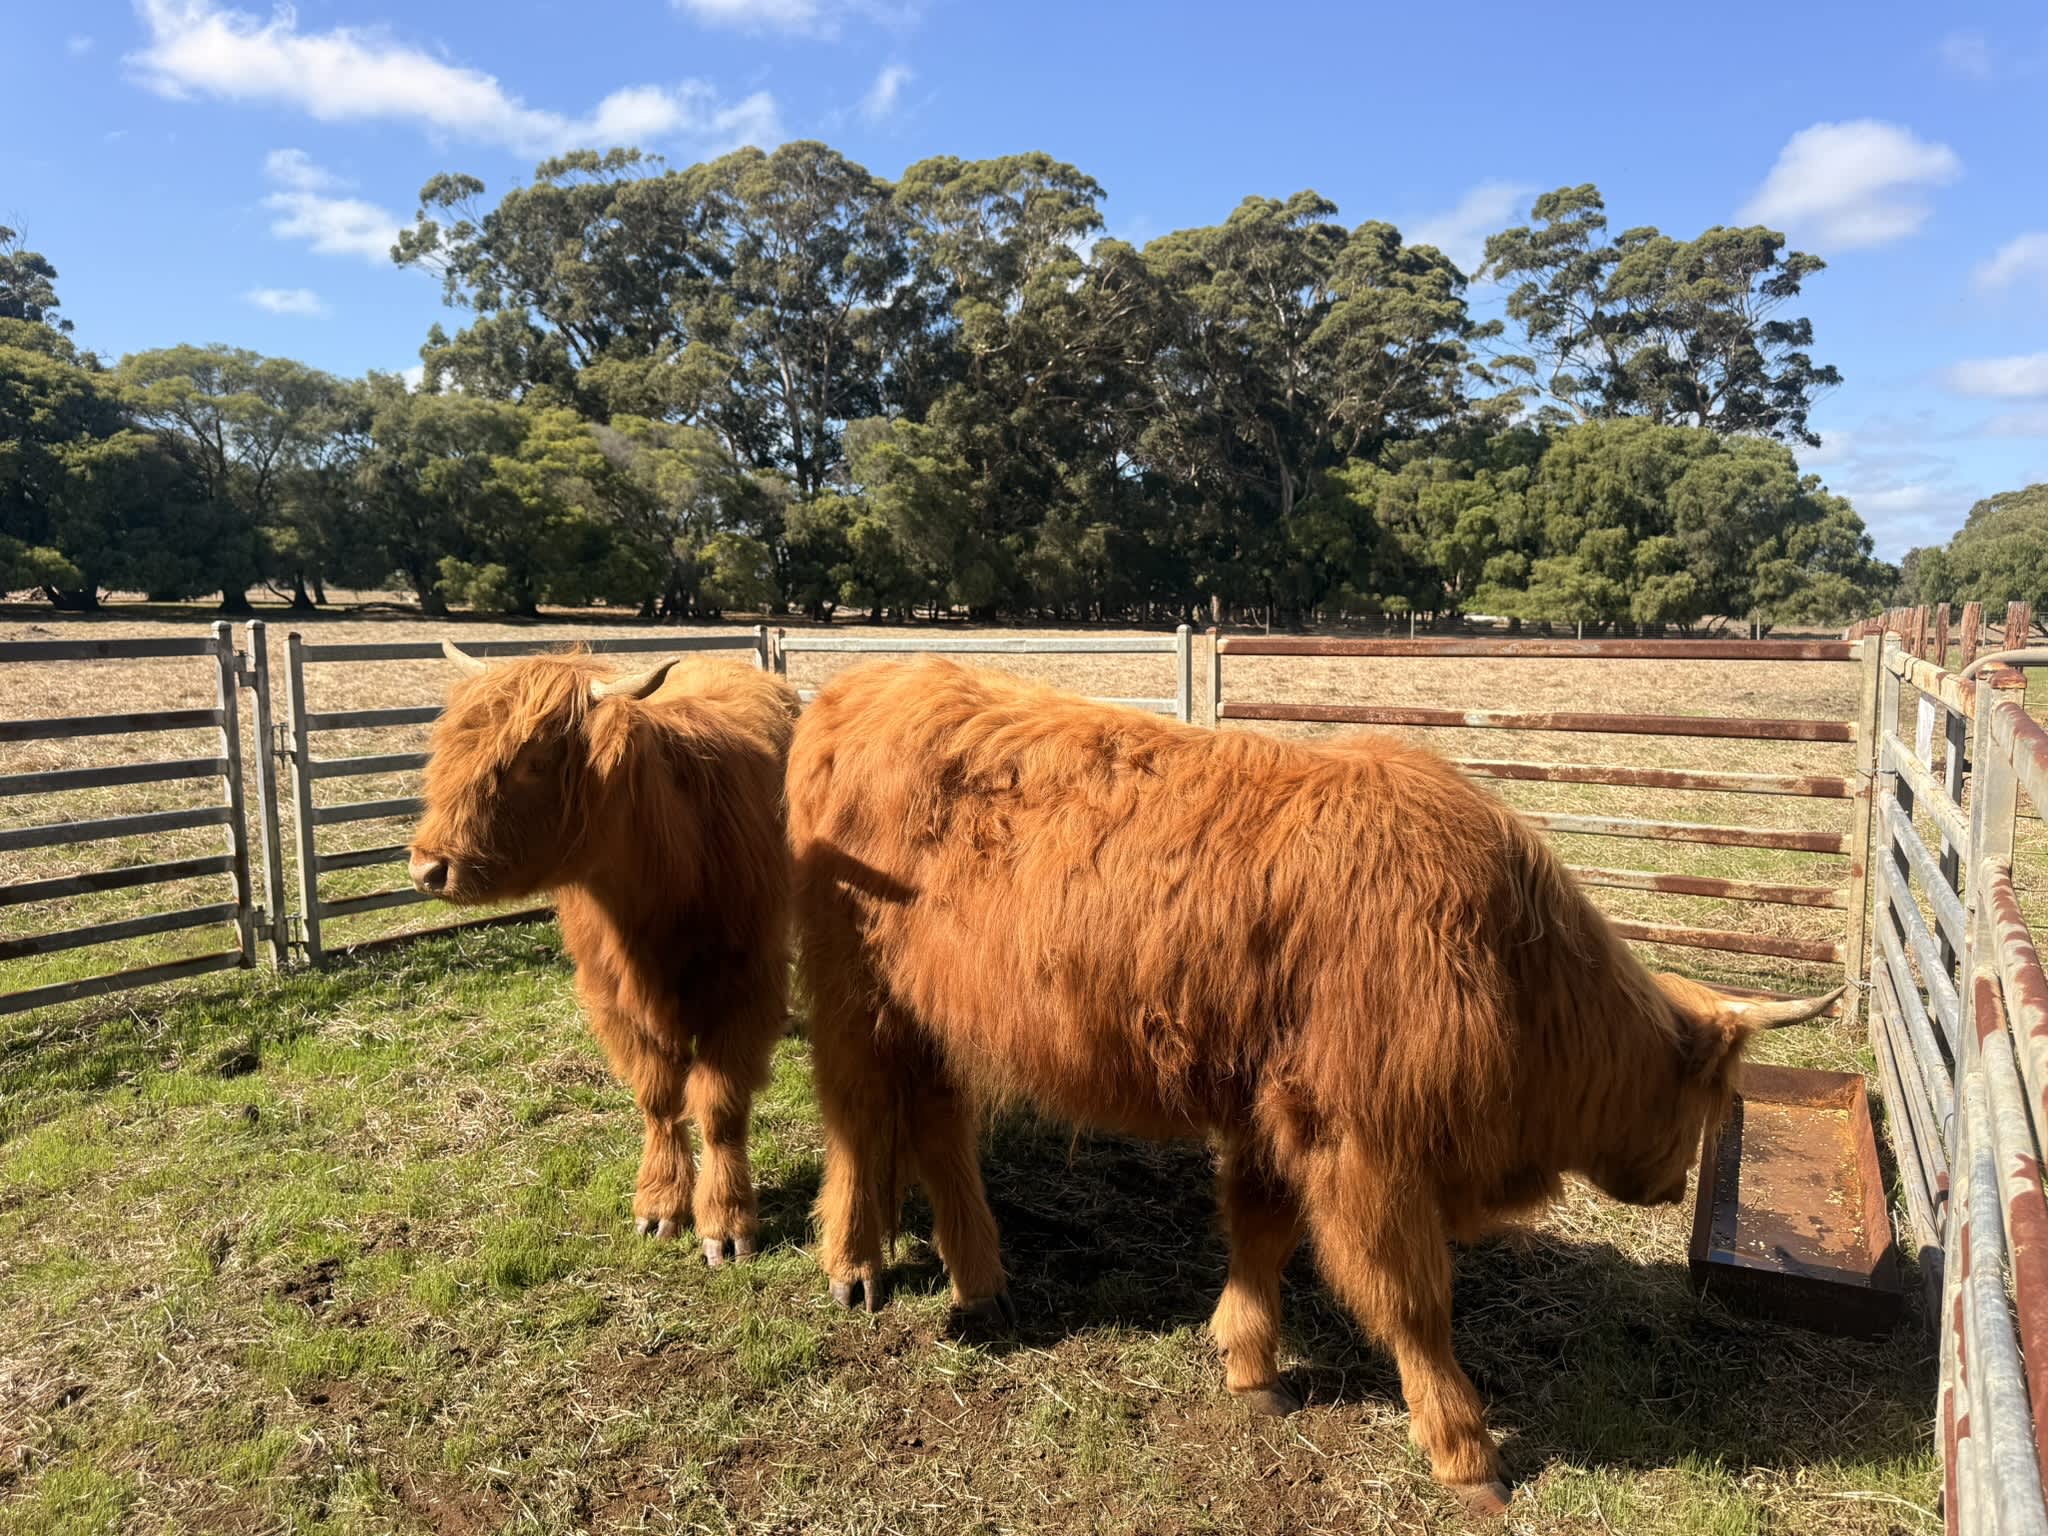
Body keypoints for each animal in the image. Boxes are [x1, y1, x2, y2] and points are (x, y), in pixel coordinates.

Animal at [407, 644, 800, 1266]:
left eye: (534, 760)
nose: (428, 869)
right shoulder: (610, 993)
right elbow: (658, 1097)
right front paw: (660, 1205)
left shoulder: (745, 985)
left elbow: (719, 1106)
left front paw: (726, 1223)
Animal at [784, 657, 1838, 1515]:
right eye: (1708, 1103)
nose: (1673, 1188)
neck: (1512, 968)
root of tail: (860, 684)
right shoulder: (1363, 1140)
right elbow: (1413, 1298)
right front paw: (1464, 1449)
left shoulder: (1276, 1108)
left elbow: (1261, 1230)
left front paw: (1249, 1363)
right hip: (851, 986)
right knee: (857, 1112)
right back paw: (856, 1263)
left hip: (930, 1010)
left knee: (933, 1122)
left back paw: (982, 1282)